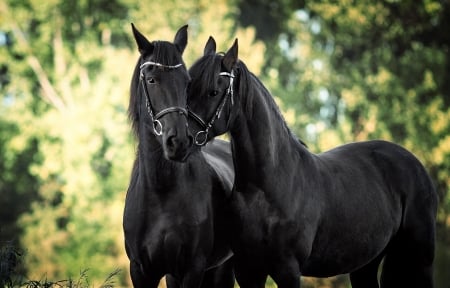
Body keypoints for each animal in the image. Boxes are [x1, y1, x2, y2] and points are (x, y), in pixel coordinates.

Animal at [123, 24, 236, 288]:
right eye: (152, 79)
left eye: (187, 83)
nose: (179, 142)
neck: (161, 191)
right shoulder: (142, 271)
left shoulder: (192, 269)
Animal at [178, 36, 436, 288]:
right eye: (187, 87)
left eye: (213, 92)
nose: (180, 140)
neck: (268, 187)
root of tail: (415, 165)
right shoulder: (249, 271)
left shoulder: (288, 270)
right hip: (366, 264)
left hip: (420, 259)